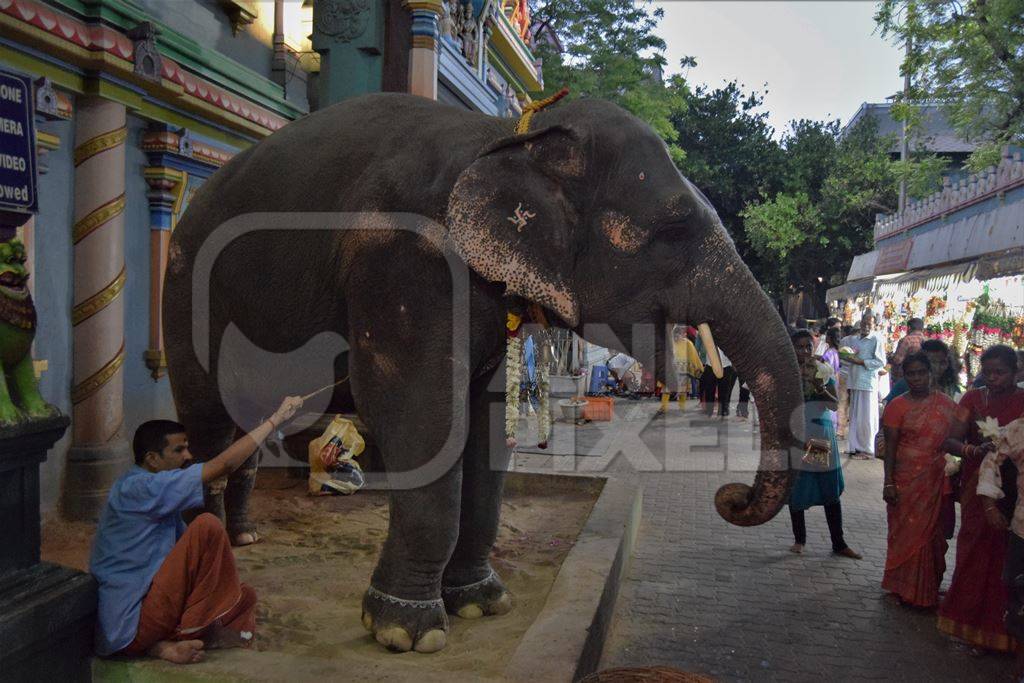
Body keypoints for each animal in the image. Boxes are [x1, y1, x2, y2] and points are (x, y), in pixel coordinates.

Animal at [163, 90, 802, 651]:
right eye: (673, 229)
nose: (730, 496)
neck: (507, 138)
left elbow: (487, 425)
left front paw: (482, 602)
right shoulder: (405, 264)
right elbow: (421, 418)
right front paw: (405, 632)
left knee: (246, 433)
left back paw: (241, 537)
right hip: (188, 292)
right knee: (209, 426)